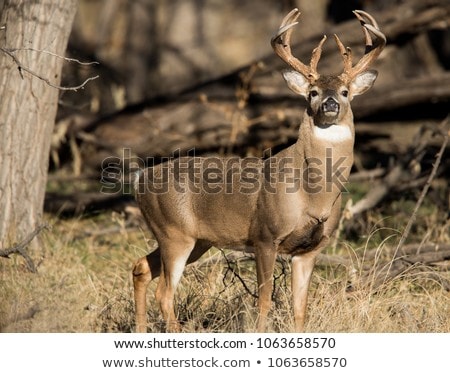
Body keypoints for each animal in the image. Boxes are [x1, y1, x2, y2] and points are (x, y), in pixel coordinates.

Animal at [131, 8, 386, 332]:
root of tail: (139, 180)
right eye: (313, 92)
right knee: (164, 293)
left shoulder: (310, 249)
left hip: (196, 239)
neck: (313, 196)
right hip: (174, 232)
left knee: (140, 267)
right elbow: (264, 301)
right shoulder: (265, 235)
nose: (329, 103)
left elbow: (300, 309)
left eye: (344, 91)